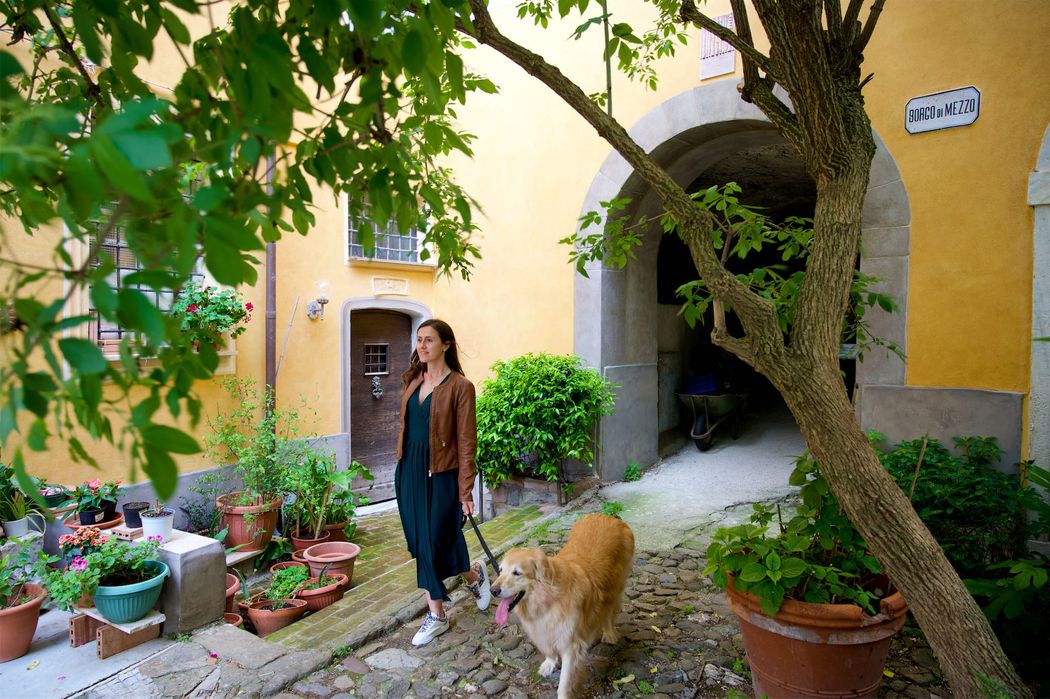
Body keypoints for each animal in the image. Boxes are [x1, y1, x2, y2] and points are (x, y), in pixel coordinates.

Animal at [489, 510, 630, 692]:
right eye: (500, 570)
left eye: (517, 573)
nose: (492, 590)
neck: (547, 600)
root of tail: (607, 516)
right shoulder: (543, 630)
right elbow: (548, 649)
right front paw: (549, 663)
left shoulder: (570, 646)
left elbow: (564, 684)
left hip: (617, 587)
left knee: (610, 613)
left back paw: (609, 633)